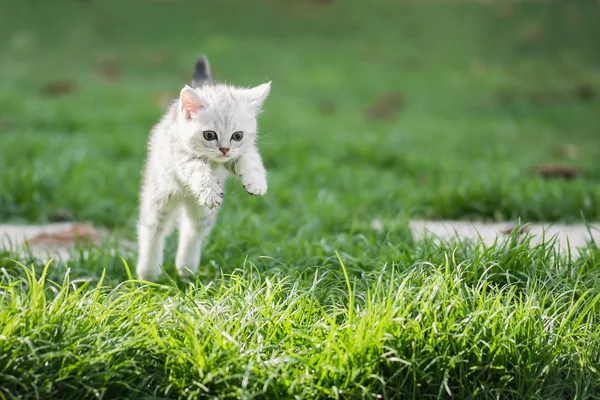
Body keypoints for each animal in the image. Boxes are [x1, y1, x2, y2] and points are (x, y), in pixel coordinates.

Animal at [137, 55, 270, 282]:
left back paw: (186, 267)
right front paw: (209, 189)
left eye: (237, 135)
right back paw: (148, 271)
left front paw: (255, 182)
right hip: (160, 195)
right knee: (152, 230)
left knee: (192, 230)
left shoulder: (239, 152)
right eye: (209, 135)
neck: (214, 161)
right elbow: (197, 171)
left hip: (202, 212)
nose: (224, 149)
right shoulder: (181, 157)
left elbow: (250, 159)